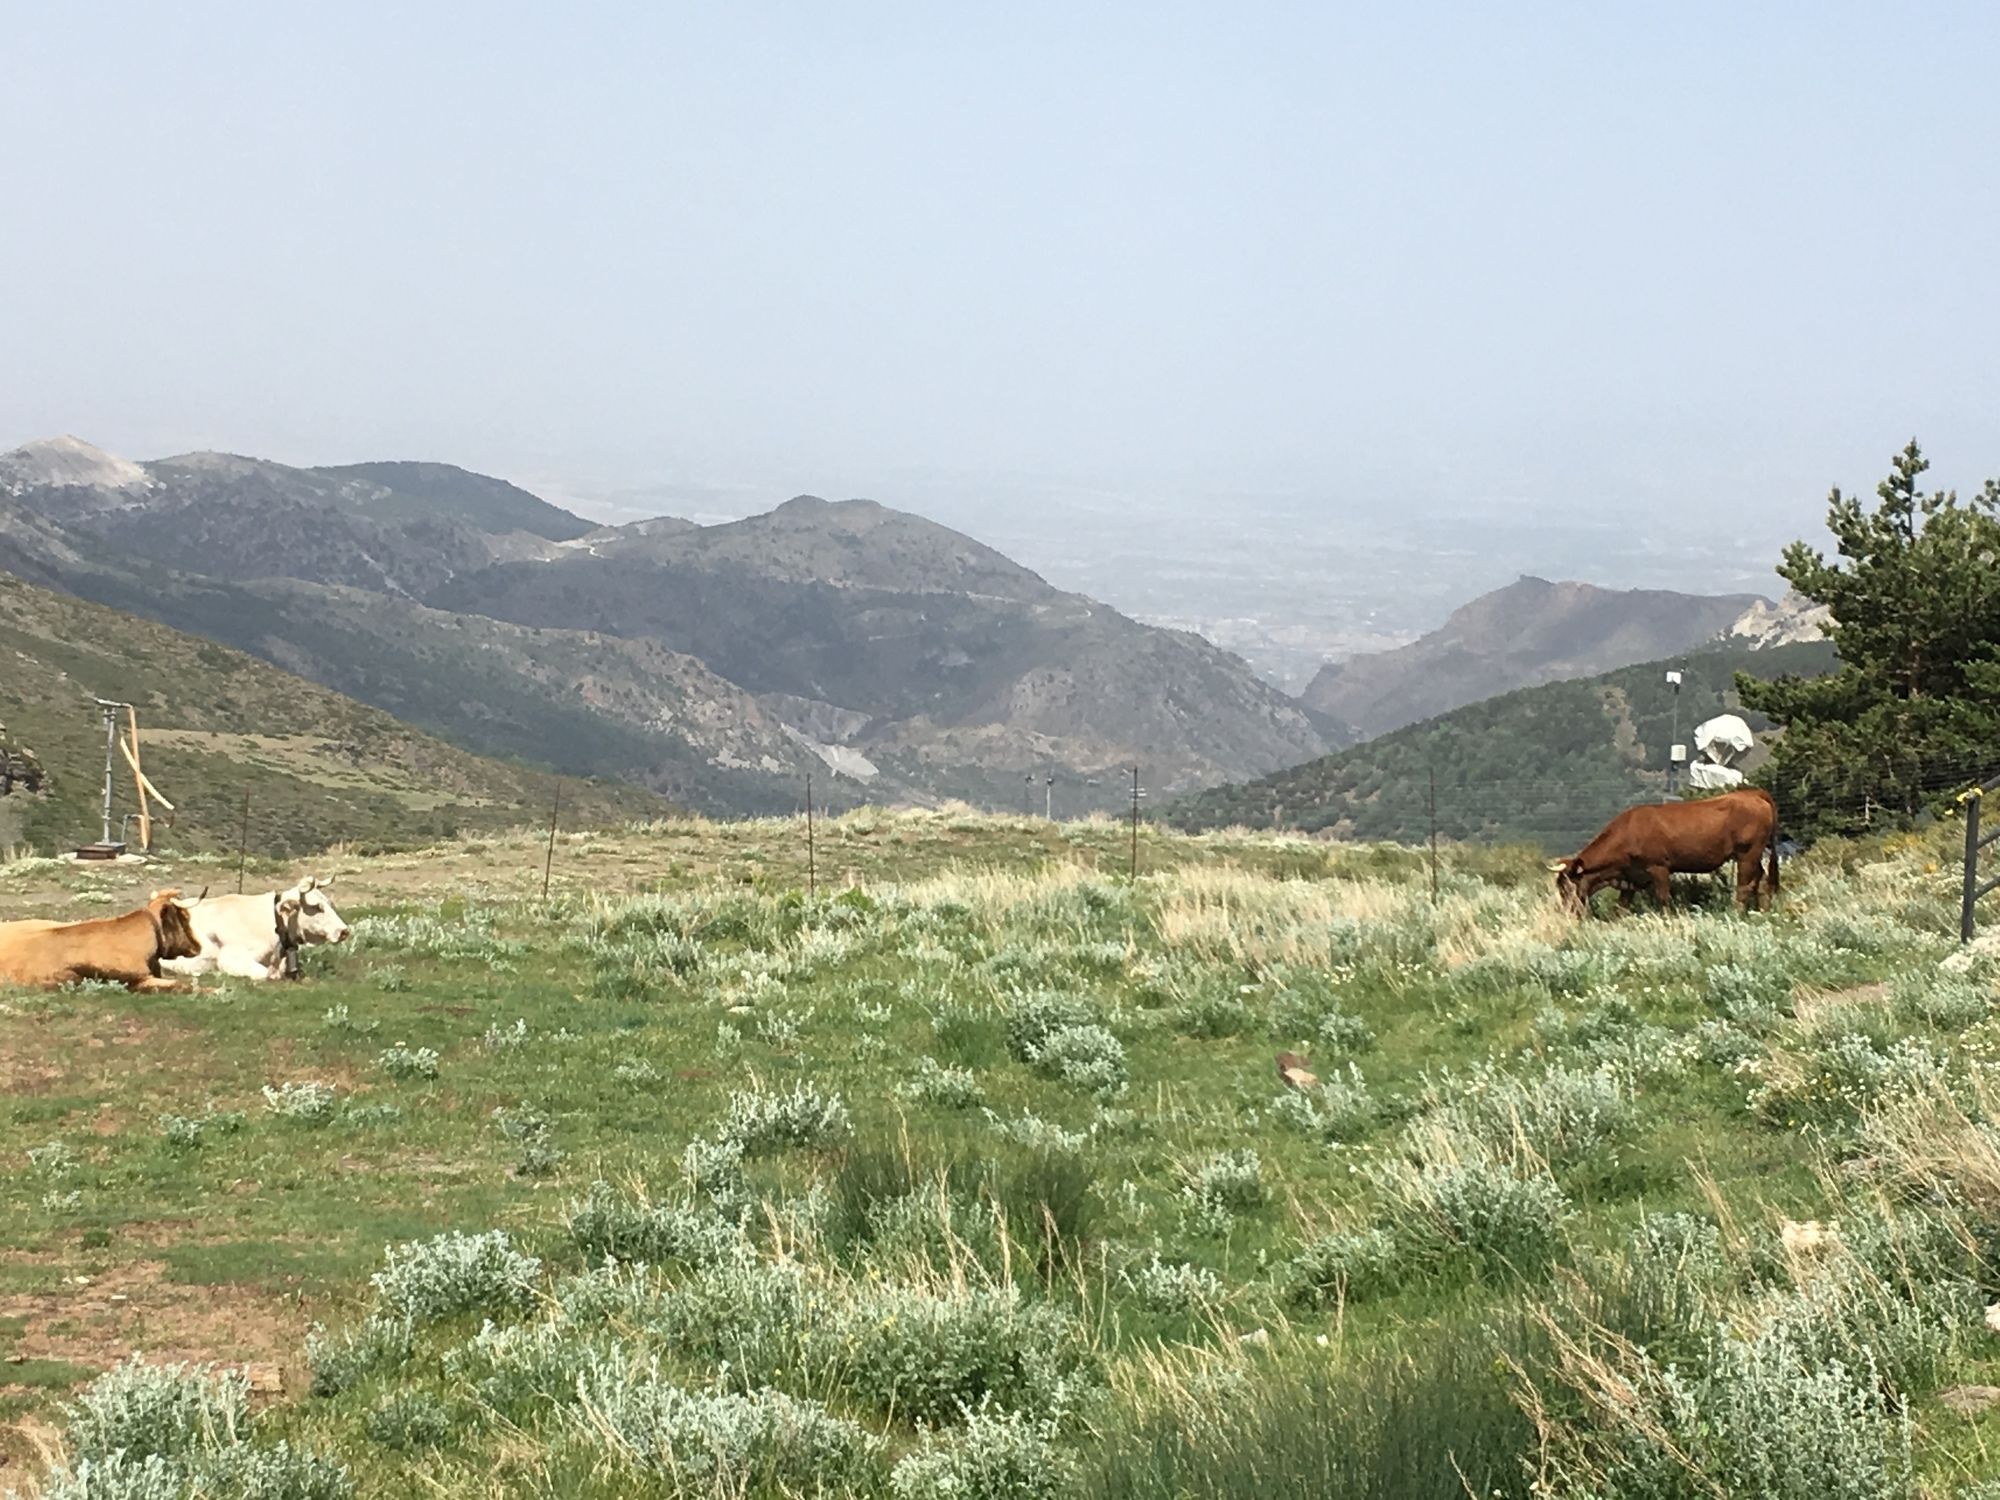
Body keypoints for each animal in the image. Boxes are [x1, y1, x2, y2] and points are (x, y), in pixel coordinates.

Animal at [1544, 788, 1784, 916]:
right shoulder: (1631, 877)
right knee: (1761, 880)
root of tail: (1751, 793)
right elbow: (1621, 907)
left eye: (1567, 885)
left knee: (1744, 885)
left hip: (1747, 853)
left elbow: (1664, 898)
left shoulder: (1658, 867)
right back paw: (1762, 912)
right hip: (1754, 855)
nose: (1567, 912)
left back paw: (1736, 913)